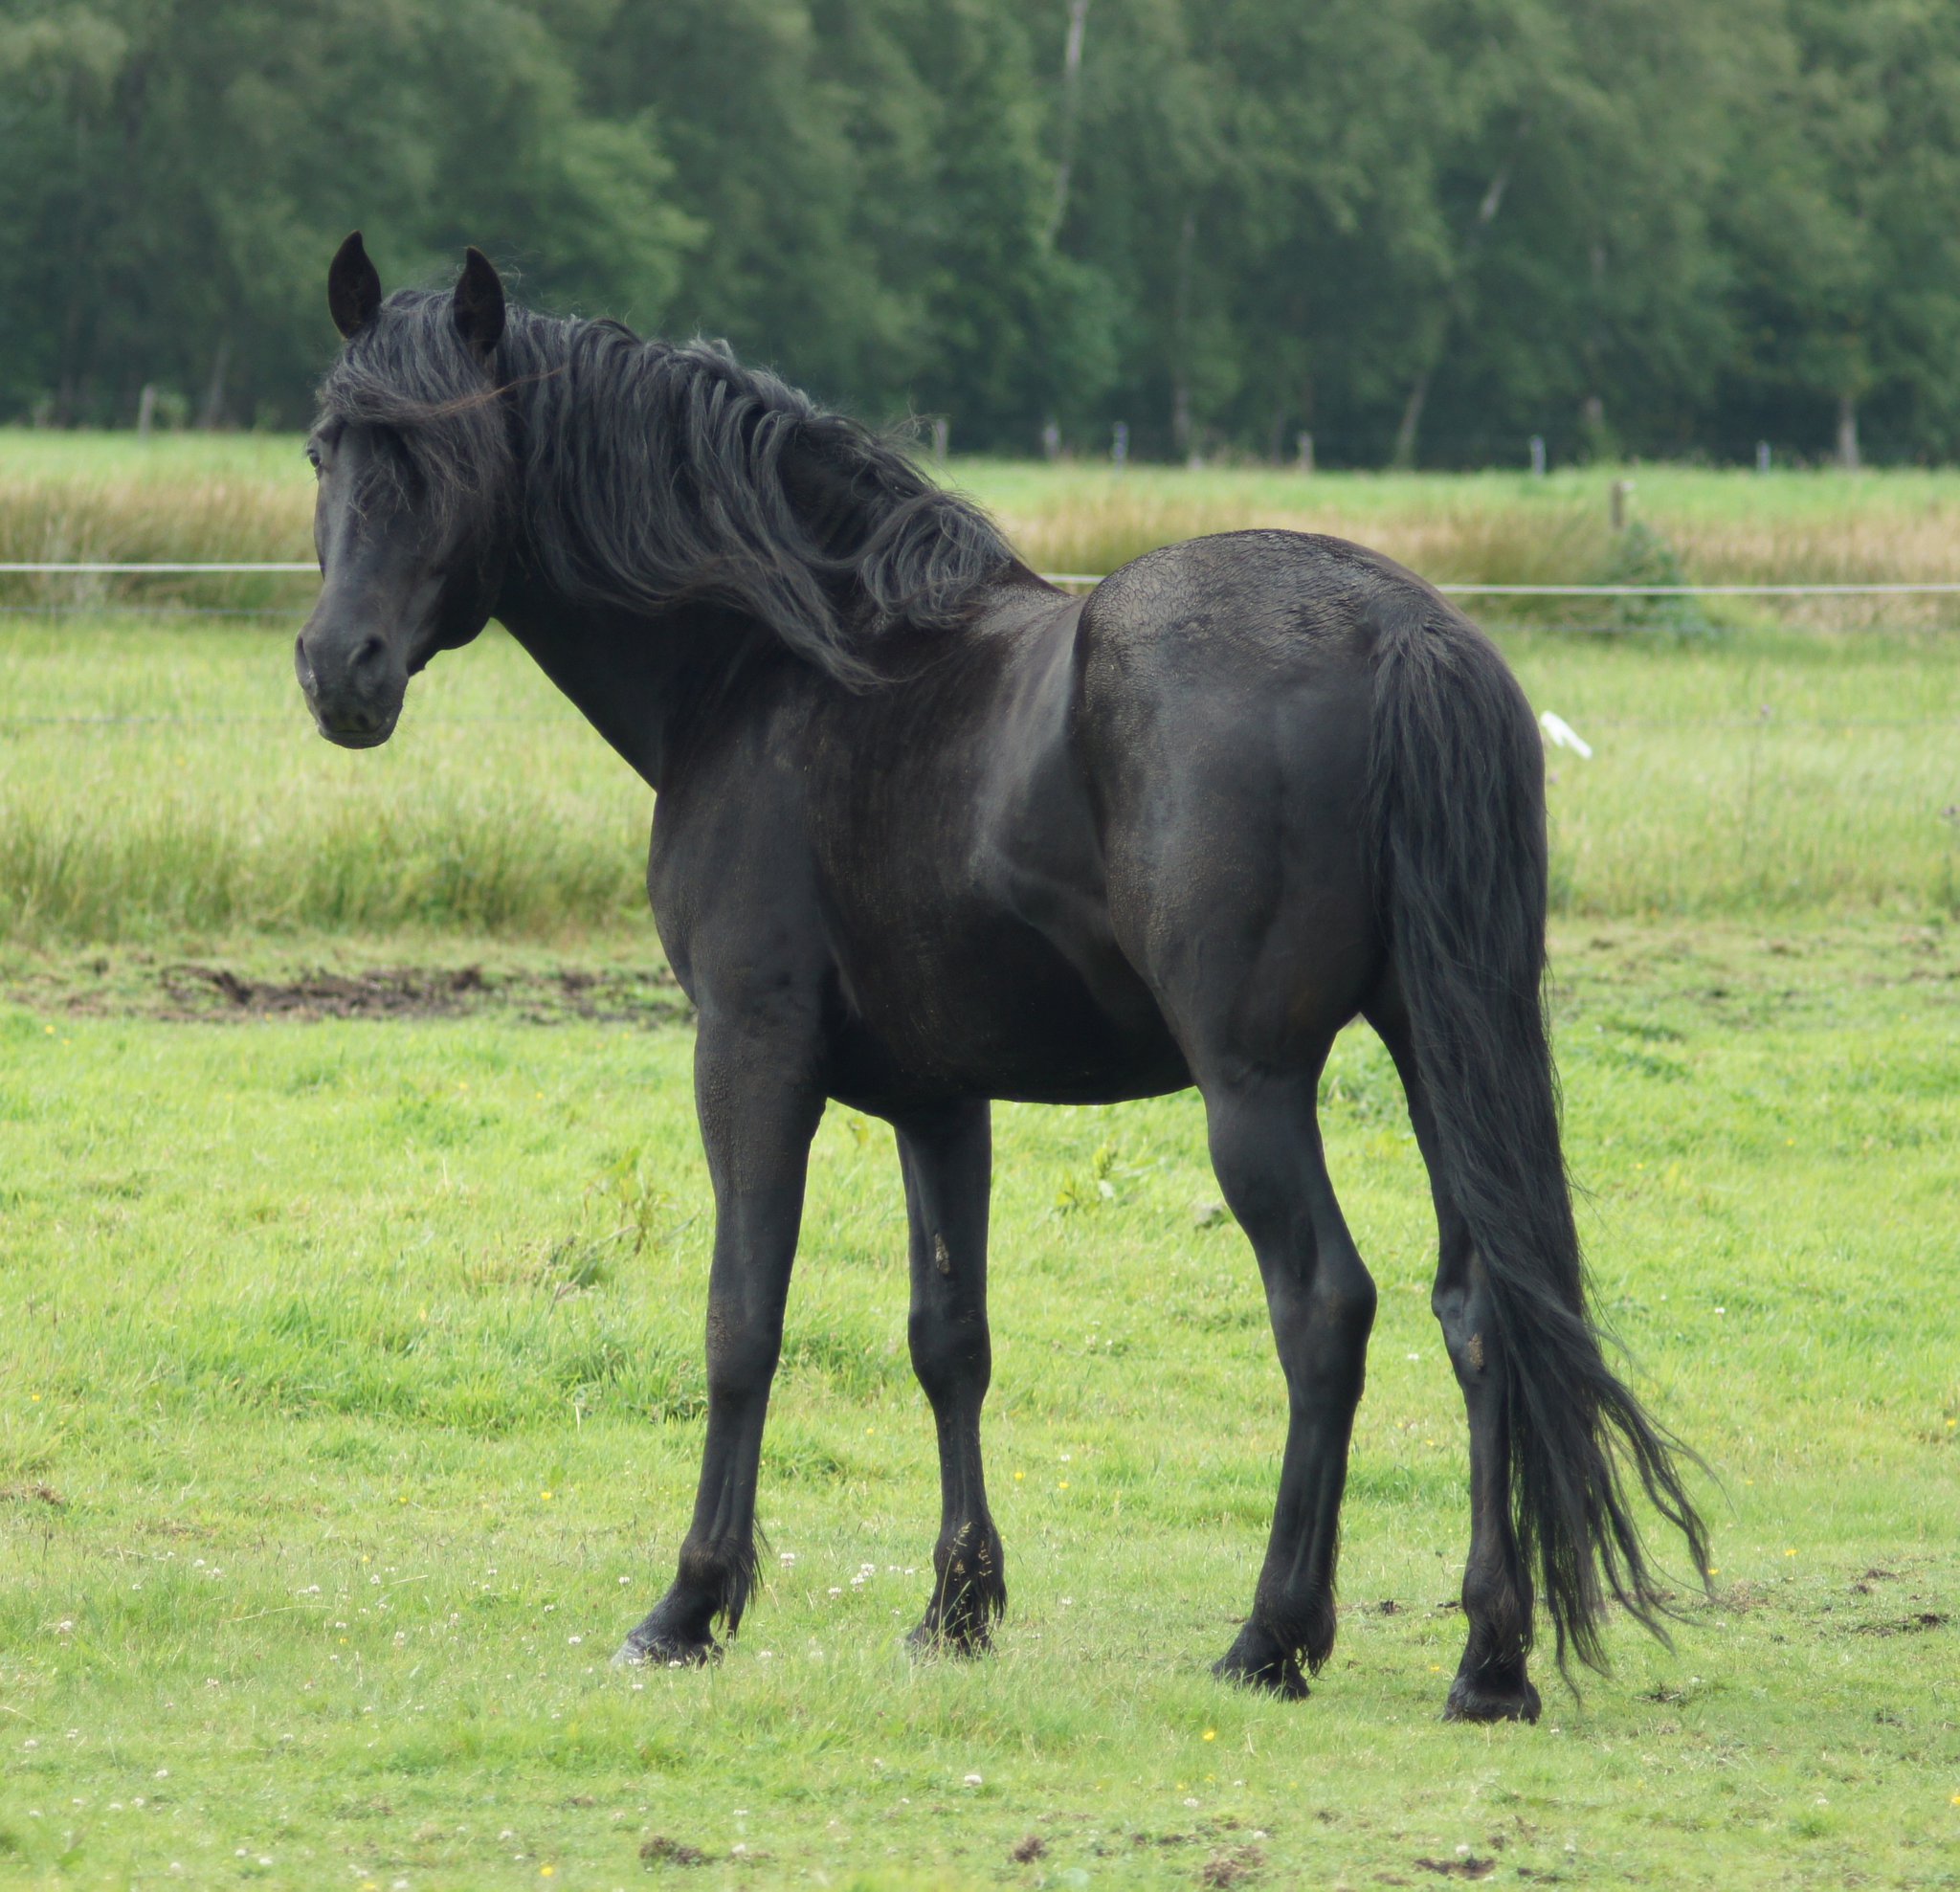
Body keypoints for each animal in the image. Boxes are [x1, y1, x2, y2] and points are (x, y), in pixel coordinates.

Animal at [298, 232, 1708, 1709]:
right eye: (325, 450)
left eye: (439, 457)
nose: (339, 673)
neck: (781, 667)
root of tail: (1397, 634)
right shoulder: (940, 1101)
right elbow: (949, 1340)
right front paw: (957, 1606)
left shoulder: (749, 1050)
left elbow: (743, 1320)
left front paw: (689, 1603)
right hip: (1439, 1047)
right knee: (1482, 1310)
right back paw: (1489, 1658)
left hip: (1254, 1087)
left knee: (1325, 1307)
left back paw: (1272, 1634)